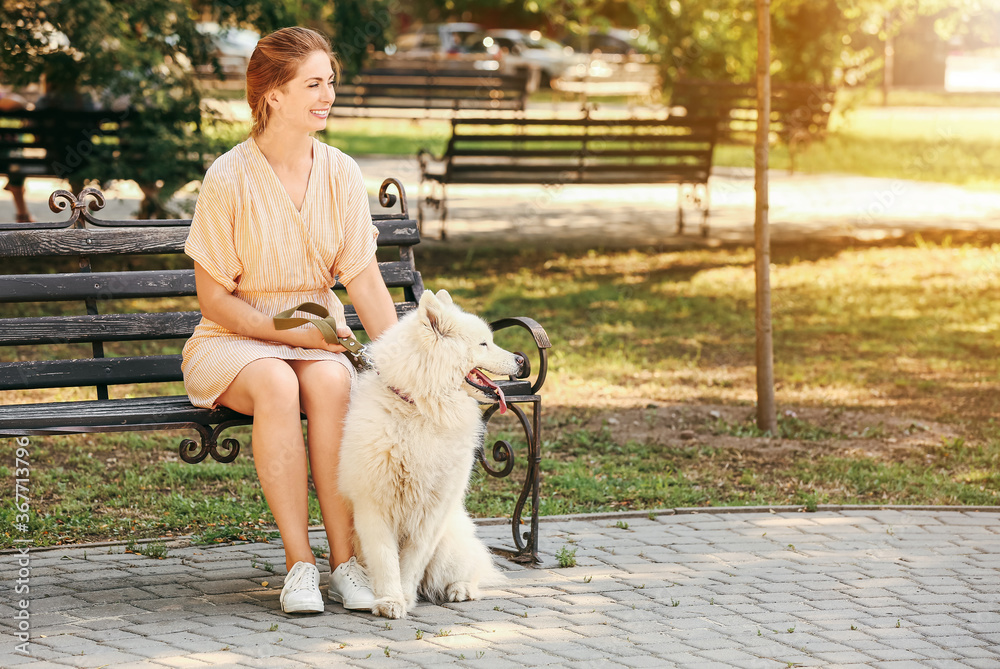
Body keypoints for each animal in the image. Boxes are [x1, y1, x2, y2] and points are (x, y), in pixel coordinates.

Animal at [338, 290, 524, 620]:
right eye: (483, 344)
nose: (521, 359)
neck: (419, 407)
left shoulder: (433, 511)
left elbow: (412, 563)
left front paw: (404, 597)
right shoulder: (373, 505)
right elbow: (386, 559)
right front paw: (390, 600)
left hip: (450, 542)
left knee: (466, 571)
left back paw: (460, 589)